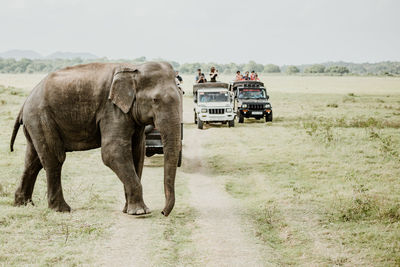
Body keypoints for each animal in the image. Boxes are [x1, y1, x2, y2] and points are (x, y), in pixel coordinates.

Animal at [9, 61, 181, 217]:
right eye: (155, 100)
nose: (163, 212)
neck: (133, 68)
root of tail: (25, 102)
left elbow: (137, 152)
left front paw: (128, 210)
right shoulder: (112, 110)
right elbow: (112, 153)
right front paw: (140, 212)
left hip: (35, 123)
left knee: (33, 161)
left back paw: (23, 205)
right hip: (40, 117)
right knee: (54, 159)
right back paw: (61, 209)